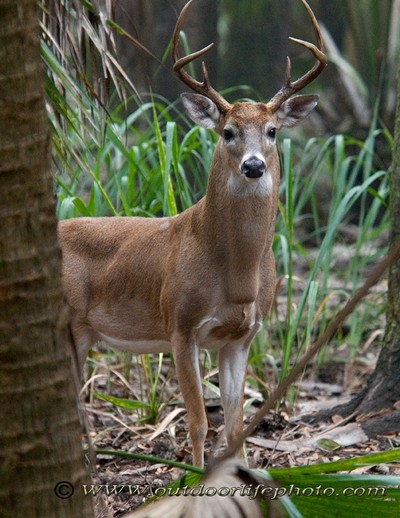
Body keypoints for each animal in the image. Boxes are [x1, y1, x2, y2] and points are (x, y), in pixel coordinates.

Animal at [57, 0, 326, 470]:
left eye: (272, 131)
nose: (253, 165)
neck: (234, 273)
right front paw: (191, 477)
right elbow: (198, 421)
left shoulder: (243, 335)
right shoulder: (179, 325)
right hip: (68, 324)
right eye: (227, 132)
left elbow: (236, 423)